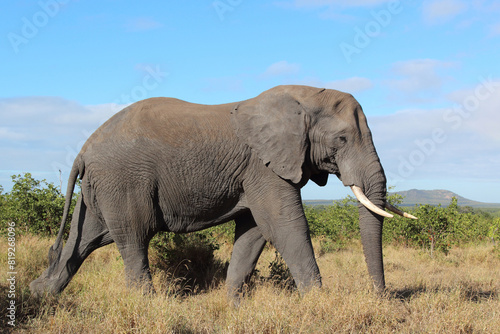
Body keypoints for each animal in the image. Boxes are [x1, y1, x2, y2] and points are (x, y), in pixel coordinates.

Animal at [31, 84, 414, 302]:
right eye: (342, 140)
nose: (381, 297)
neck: (300, 98)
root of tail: (83, 150)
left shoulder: (255, 172)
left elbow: (254, 233)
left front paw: (232, 305)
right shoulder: (263, 165)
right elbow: (286, 225)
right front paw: (320, 304)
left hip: (100, 189)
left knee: (83, 240)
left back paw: (40, 296)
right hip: (123, 181)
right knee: (133, 240)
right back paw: (147, 305)